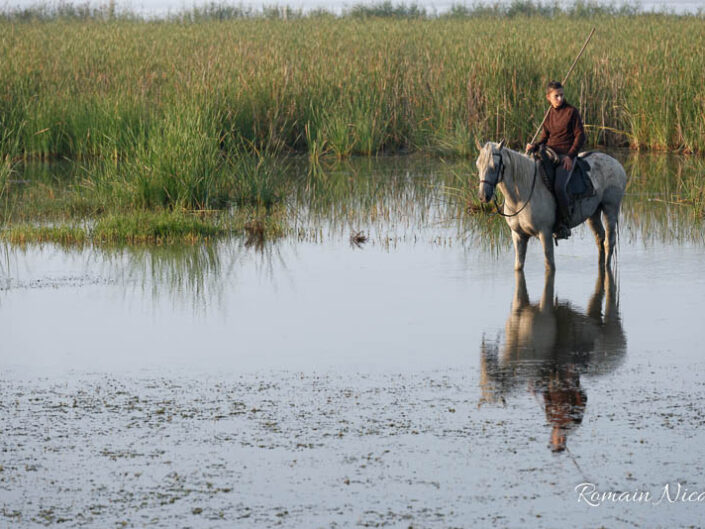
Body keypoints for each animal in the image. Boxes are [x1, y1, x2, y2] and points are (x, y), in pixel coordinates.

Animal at [476, 140, 624, 270]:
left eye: (495, 166)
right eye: (478, 165)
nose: (483, 196)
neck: (521, 197)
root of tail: (616, 163)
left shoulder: (545, 234)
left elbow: (549, 266)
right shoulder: (518, 236)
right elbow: (518, 266)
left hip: (610, 208)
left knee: (609, 242)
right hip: (593, 214)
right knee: (600, 239)